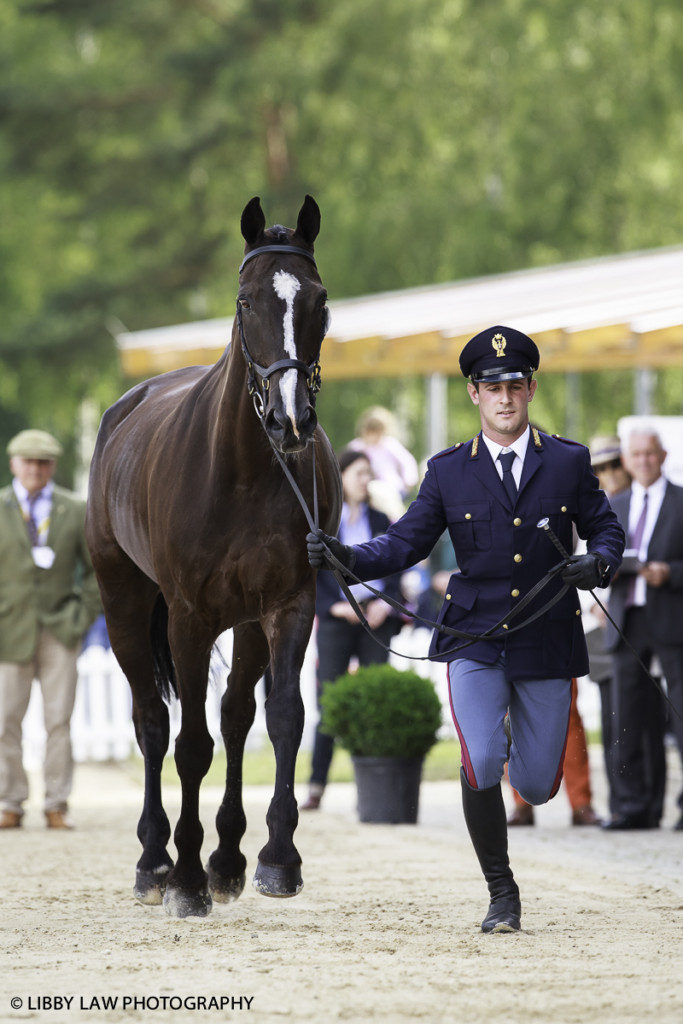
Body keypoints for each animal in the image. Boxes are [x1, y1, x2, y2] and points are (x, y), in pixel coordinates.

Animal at [85, 195, 342, 917]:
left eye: (319, 300)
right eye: (245, 300)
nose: (291, 421)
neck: (245, 471)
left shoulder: (289, 604)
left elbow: (282, 720)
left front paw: (276, 860)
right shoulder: (189, 616)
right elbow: (188, 744)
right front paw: (187, 879)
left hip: (245, 622)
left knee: (234, 717)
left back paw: (227, 858)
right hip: (124, 604)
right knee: (151, 721)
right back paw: (155, 861)